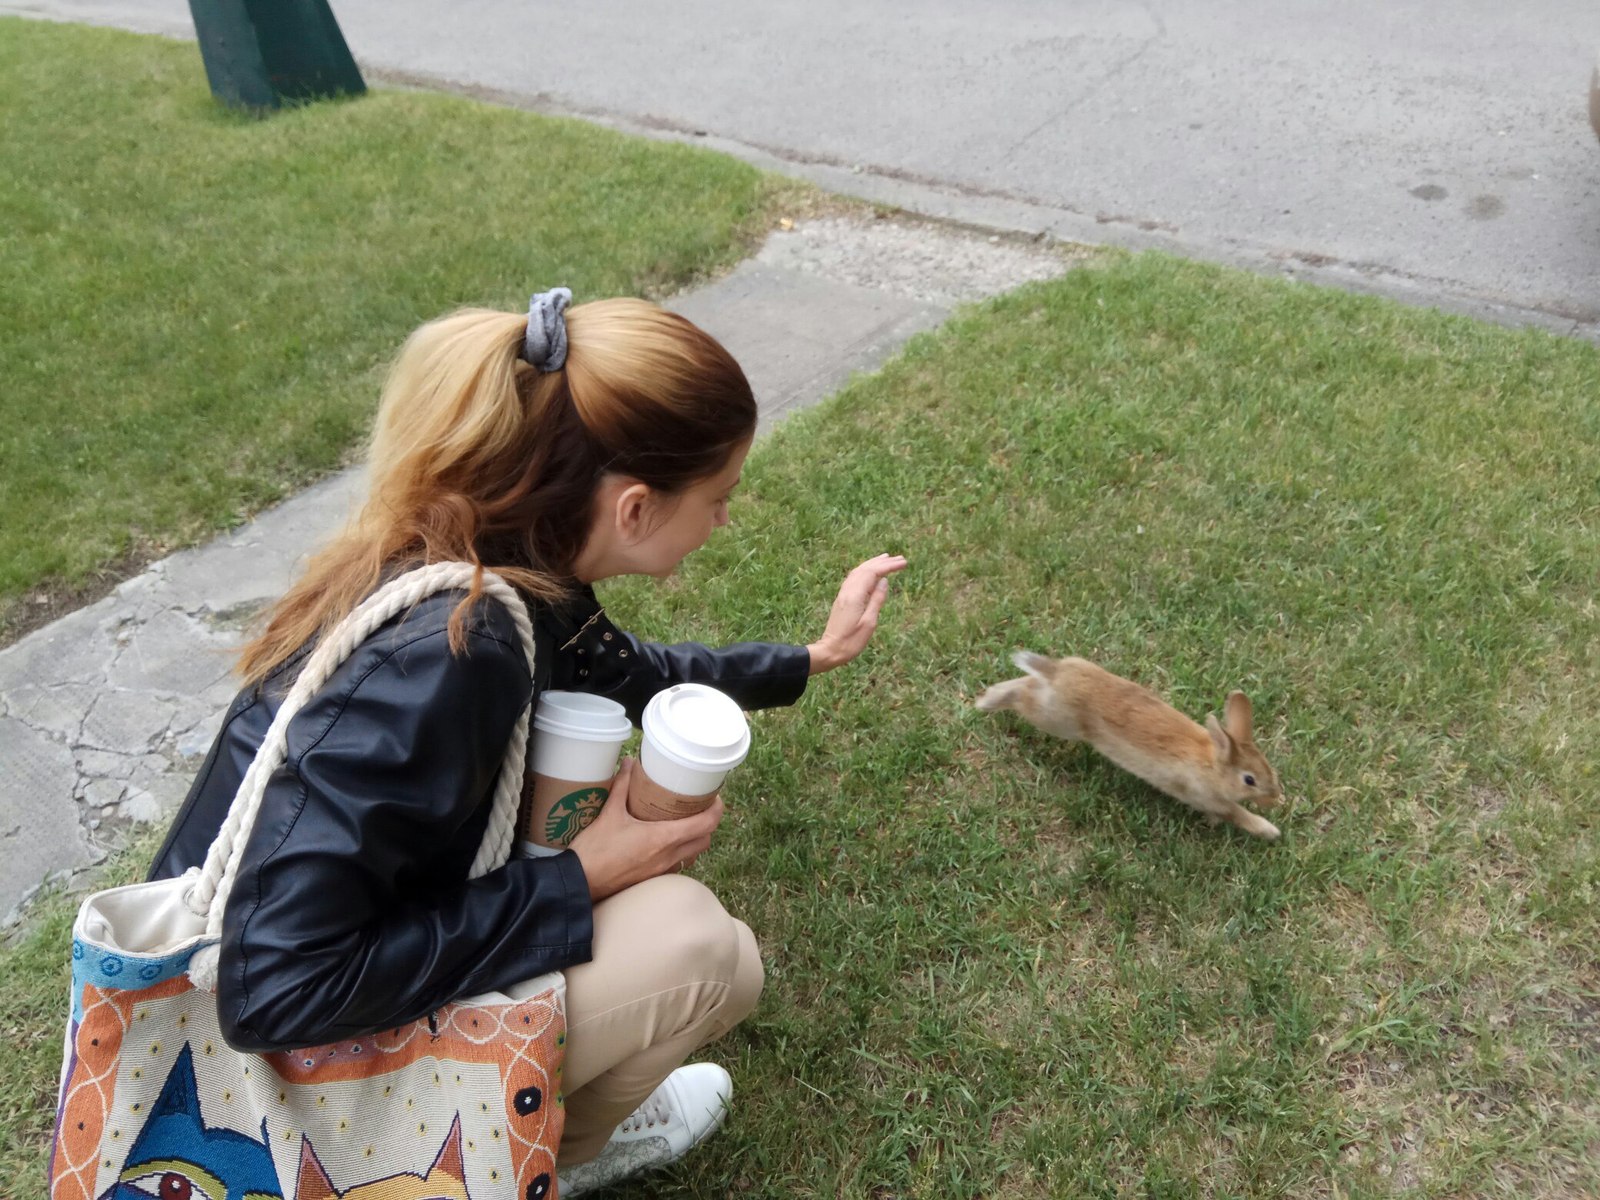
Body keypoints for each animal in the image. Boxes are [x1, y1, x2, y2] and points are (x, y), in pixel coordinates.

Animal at [972, 652, 1286, 838]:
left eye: (1270, 770)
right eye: (1249, 780)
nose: (1275, 797)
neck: (1212, 763)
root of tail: (1056, 672)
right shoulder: (1206, 797)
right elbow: (1236, 813)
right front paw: (1269, 830)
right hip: (1056, 719)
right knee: (1023, 694)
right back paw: (986, 701)